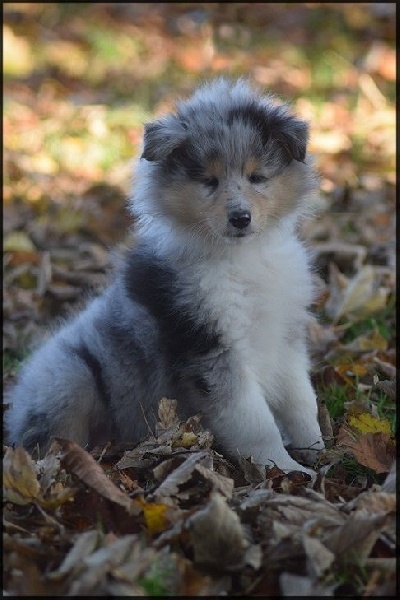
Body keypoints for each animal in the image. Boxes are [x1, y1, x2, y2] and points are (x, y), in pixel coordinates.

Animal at [5, 78, 324, 473]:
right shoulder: (210, 346)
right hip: (70, 376)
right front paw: (285, 469)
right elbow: (255, 420)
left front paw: (319, 450)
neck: (242, 257)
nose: (240, 218)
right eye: (209, 180)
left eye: (257, 177)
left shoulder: (286, 335)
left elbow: (301, 400)